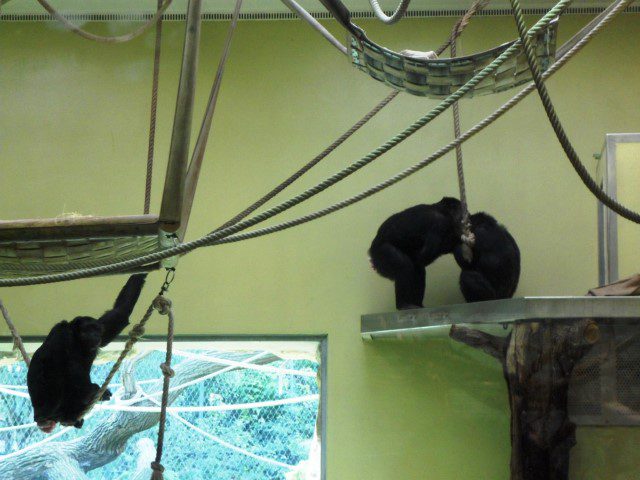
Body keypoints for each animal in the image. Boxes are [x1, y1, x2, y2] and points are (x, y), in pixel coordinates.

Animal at [26, 274, 147, 436]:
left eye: (95, 329)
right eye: (87, 329)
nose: (94, 334)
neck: (78, 341)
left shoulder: (102, 330)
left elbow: (120, 312)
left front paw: (142, 272)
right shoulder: (61, 332)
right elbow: (47, 362)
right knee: (65, 367)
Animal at [370, 197, 520, 310]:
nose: (467, 215)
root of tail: (371, 255)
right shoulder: (440, 224)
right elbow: (426, 254)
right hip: (382, 255)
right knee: (404, 266)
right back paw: (404, 305)